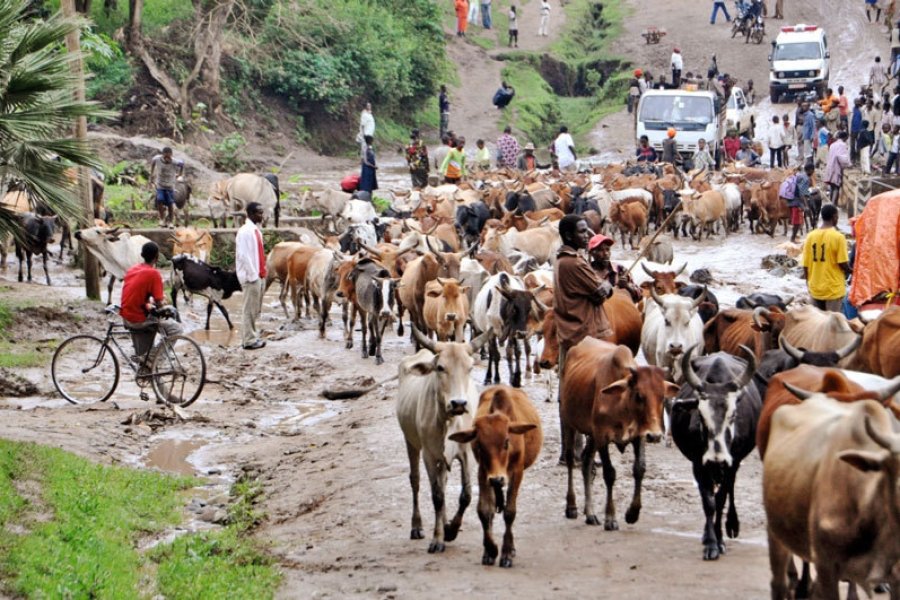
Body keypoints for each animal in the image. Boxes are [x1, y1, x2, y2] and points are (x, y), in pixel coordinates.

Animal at [448, 386, 540, 568]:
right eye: (480, 445)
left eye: (506, 442)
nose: (497, 479)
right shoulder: (484, 473)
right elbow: (484, 511)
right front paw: (490, 550)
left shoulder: (517, 471)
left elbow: (510, 512)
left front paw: (506, 553)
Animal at [560, 338, 680, 528]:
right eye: (639, 395)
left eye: (662, 397)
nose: (655, 436)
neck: (623, 406)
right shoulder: (602, 437)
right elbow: (609, 473)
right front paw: (610, 518)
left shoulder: (639, 436)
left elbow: (639, 469)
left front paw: (632, 513)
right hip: (569, 422)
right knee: (571, 460)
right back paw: (571, 507)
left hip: (592, 435)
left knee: (586, 462)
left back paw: (590, 513)